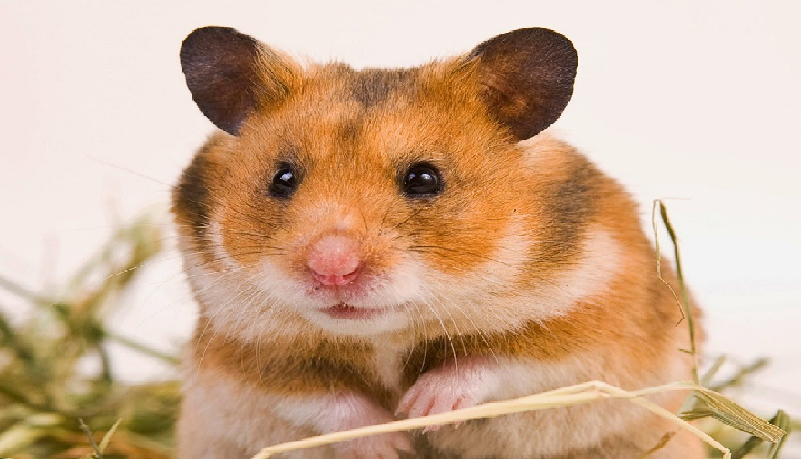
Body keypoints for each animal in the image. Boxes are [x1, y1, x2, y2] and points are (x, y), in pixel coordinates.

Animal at [173, 26, 705, 459]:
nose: (332, 268)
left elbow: (496, 360)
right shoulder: (238, 352)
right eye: (282, 178)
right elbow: (321, 396)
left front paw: (420, 409)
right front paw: (391, 441)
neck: (384, 334)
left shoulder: (592, 323)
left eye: (424, 178)